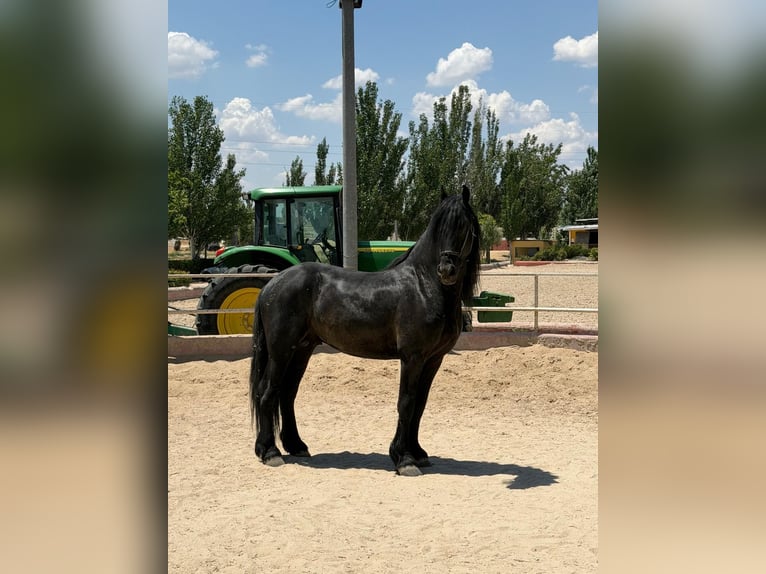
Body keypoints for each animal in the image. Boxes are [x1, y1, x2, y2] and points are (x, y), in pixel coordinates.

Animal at [249, 184, 481, 476]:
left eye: (463, 226)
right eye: (439, 226)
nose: (446, 270)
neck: (423, 285)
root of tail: (272, 284)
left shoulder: (433, 360)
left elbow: (420, 404)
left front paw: (418, 453)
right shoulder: (412, 358)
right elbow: (406, 403)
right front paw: (403, 459)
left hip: (301, 350)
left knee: (287, 393)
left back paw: (295, 446)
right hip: (281, 351)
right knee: (267, 392)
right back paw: (270, 452)